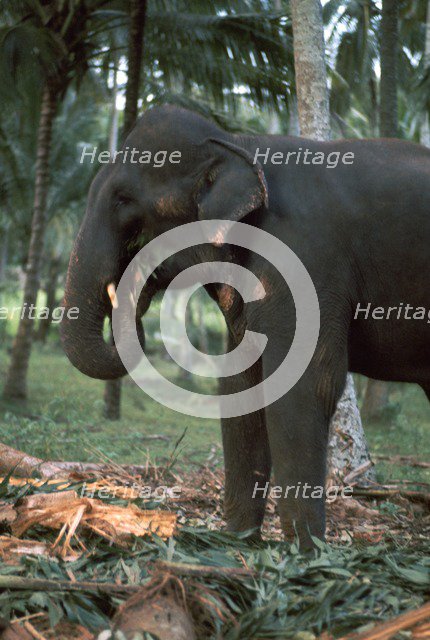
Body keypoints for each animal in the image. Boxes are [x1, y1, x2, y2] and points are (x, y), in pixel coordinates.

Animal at [61, 105, 430, 546]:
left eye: (124, 199)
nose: (138, 286)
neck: (237, 142)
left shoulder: (303, 256)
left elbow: (303, 384)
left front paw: (305, 552)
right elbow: (240, 383)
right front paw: (236, 541)